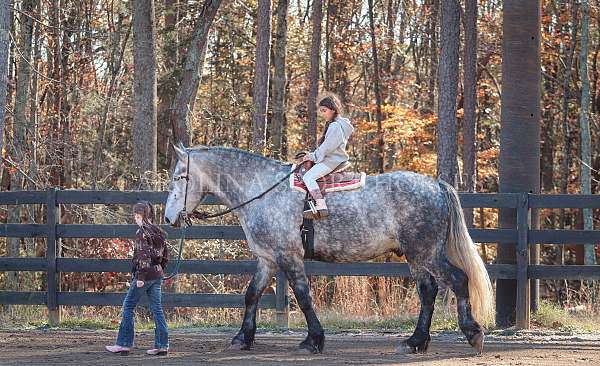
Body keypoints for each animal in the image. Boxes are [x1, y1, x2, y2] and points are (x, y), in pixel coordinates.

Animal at [164, 144, 492, 354]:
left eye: (180, 177)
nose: (168, 218)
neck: (263, 192)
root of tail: (435, 185)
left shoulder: (288, 257)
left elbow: (302, 296)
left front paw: (313, 340)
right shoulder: (268, 259)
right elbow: (252, 295)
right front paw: (242, 338)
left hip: (426, 253)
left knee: (458, 280)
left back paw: (472, 334)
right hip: (416, 256)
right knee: (428, 291)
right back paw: (415, 342)